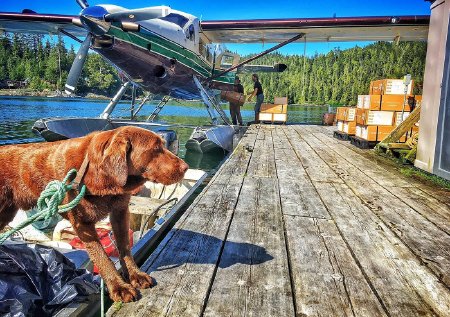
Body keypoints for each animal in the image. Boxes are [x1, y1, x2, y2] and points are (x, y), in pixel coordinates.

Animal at [0, 126, 188, 302]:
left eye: (163, 145)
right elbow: (102, 257)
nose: (186, 167)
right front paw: (119, 286)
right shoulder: (82, 224)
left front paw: (135, 275)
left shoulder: (120, 212)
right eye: (156, 148)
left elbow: (125, 248)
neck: (98, 174)